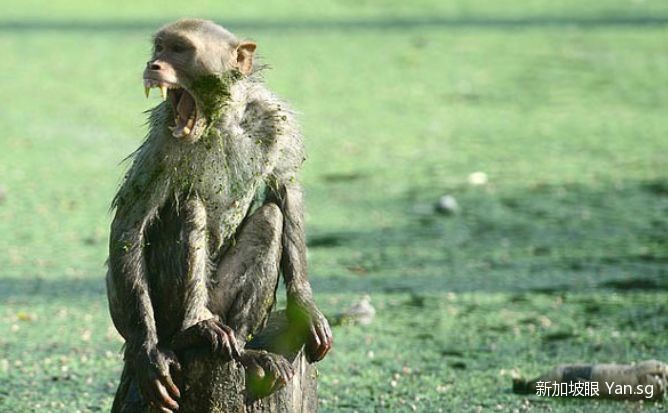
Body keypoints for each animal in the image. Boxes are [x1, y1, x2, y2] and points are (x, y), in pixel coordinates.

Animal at [106, 18, 333, 413]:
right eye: (159, 47)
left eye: (180, 49)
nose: (154, 65)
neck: (221, 120)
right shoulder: (163, 138)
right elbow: (131, 226)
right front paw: (147, 351)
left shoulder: (276, 120)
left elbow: (285, 193)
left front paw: (305, 306)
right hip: (163, 311)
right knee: (188, 206)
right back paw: (192, 330)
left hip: (221, 299)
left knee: (270, 218)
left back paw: (243, 350)